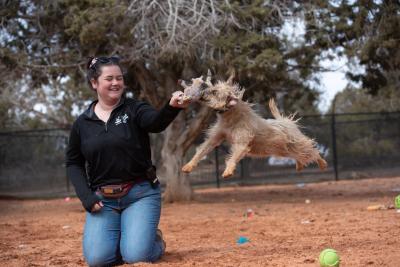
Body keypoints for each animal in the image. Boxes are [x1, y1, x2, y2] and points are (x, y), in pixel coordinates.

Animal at [180, 72, 326, 179]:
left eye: (214, 92)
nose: (202, 89)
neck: (231, 117)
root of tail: (286, 121)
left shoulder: (242, 143)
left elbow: (233, 157)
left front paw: (228, 170)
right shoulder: (215, 137)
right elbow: (203, 150)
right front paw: (188, 165)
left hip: (296, 144)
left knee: (311, 149)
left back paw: (322, 163)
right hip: (283, 149)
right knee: (299, 155)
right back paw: (300, 165)